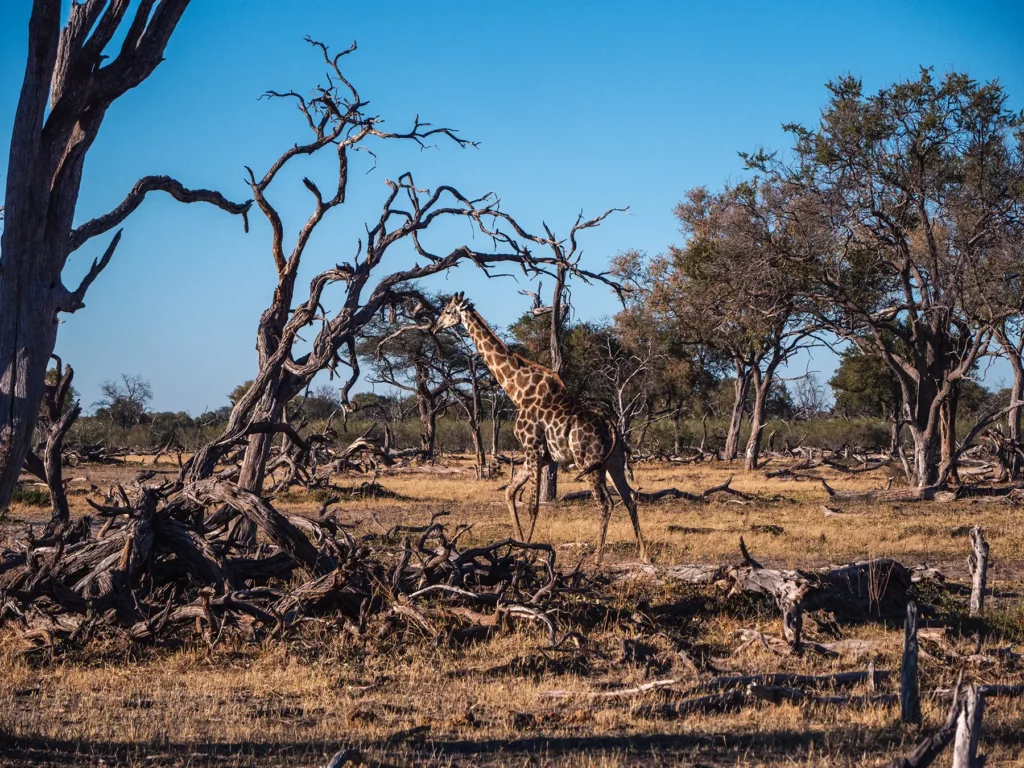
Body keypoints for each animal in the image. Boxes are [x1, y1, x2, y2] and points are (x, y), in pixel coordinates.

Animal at [433, 292, 648, 563]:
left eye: (448, 310)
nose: (435, 327)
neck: (518, 391)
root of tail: (611, 423)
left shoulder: (533, 449)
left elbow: (533, 504)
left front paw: (528, 550)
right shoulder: (539, 456)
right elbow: (509, 493)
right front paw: (518, 544)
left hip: (588, 462)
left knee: (606, 502)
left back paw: (598, 557)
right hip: (614, 461)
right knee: (630, 498)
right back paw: (644, 554)